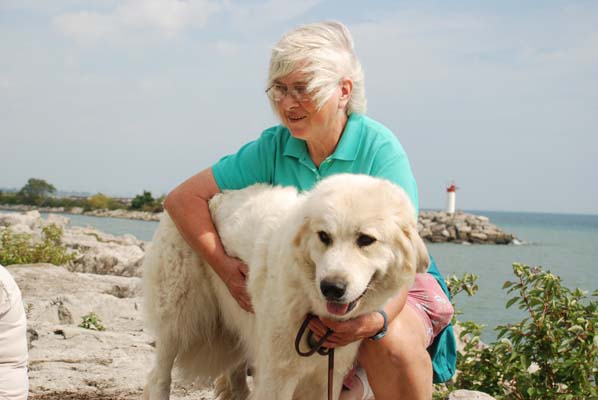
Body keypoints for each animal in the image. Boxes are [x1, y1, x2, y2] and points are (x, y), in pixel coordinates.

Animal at [143, 174, 428, 400]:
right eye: (324, 236)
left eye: (366, 240)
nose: (331, 287)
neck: (309, 300)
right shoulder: (276, 374)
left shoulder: (326, 375)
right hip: (178, 316)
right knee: (159, 375)